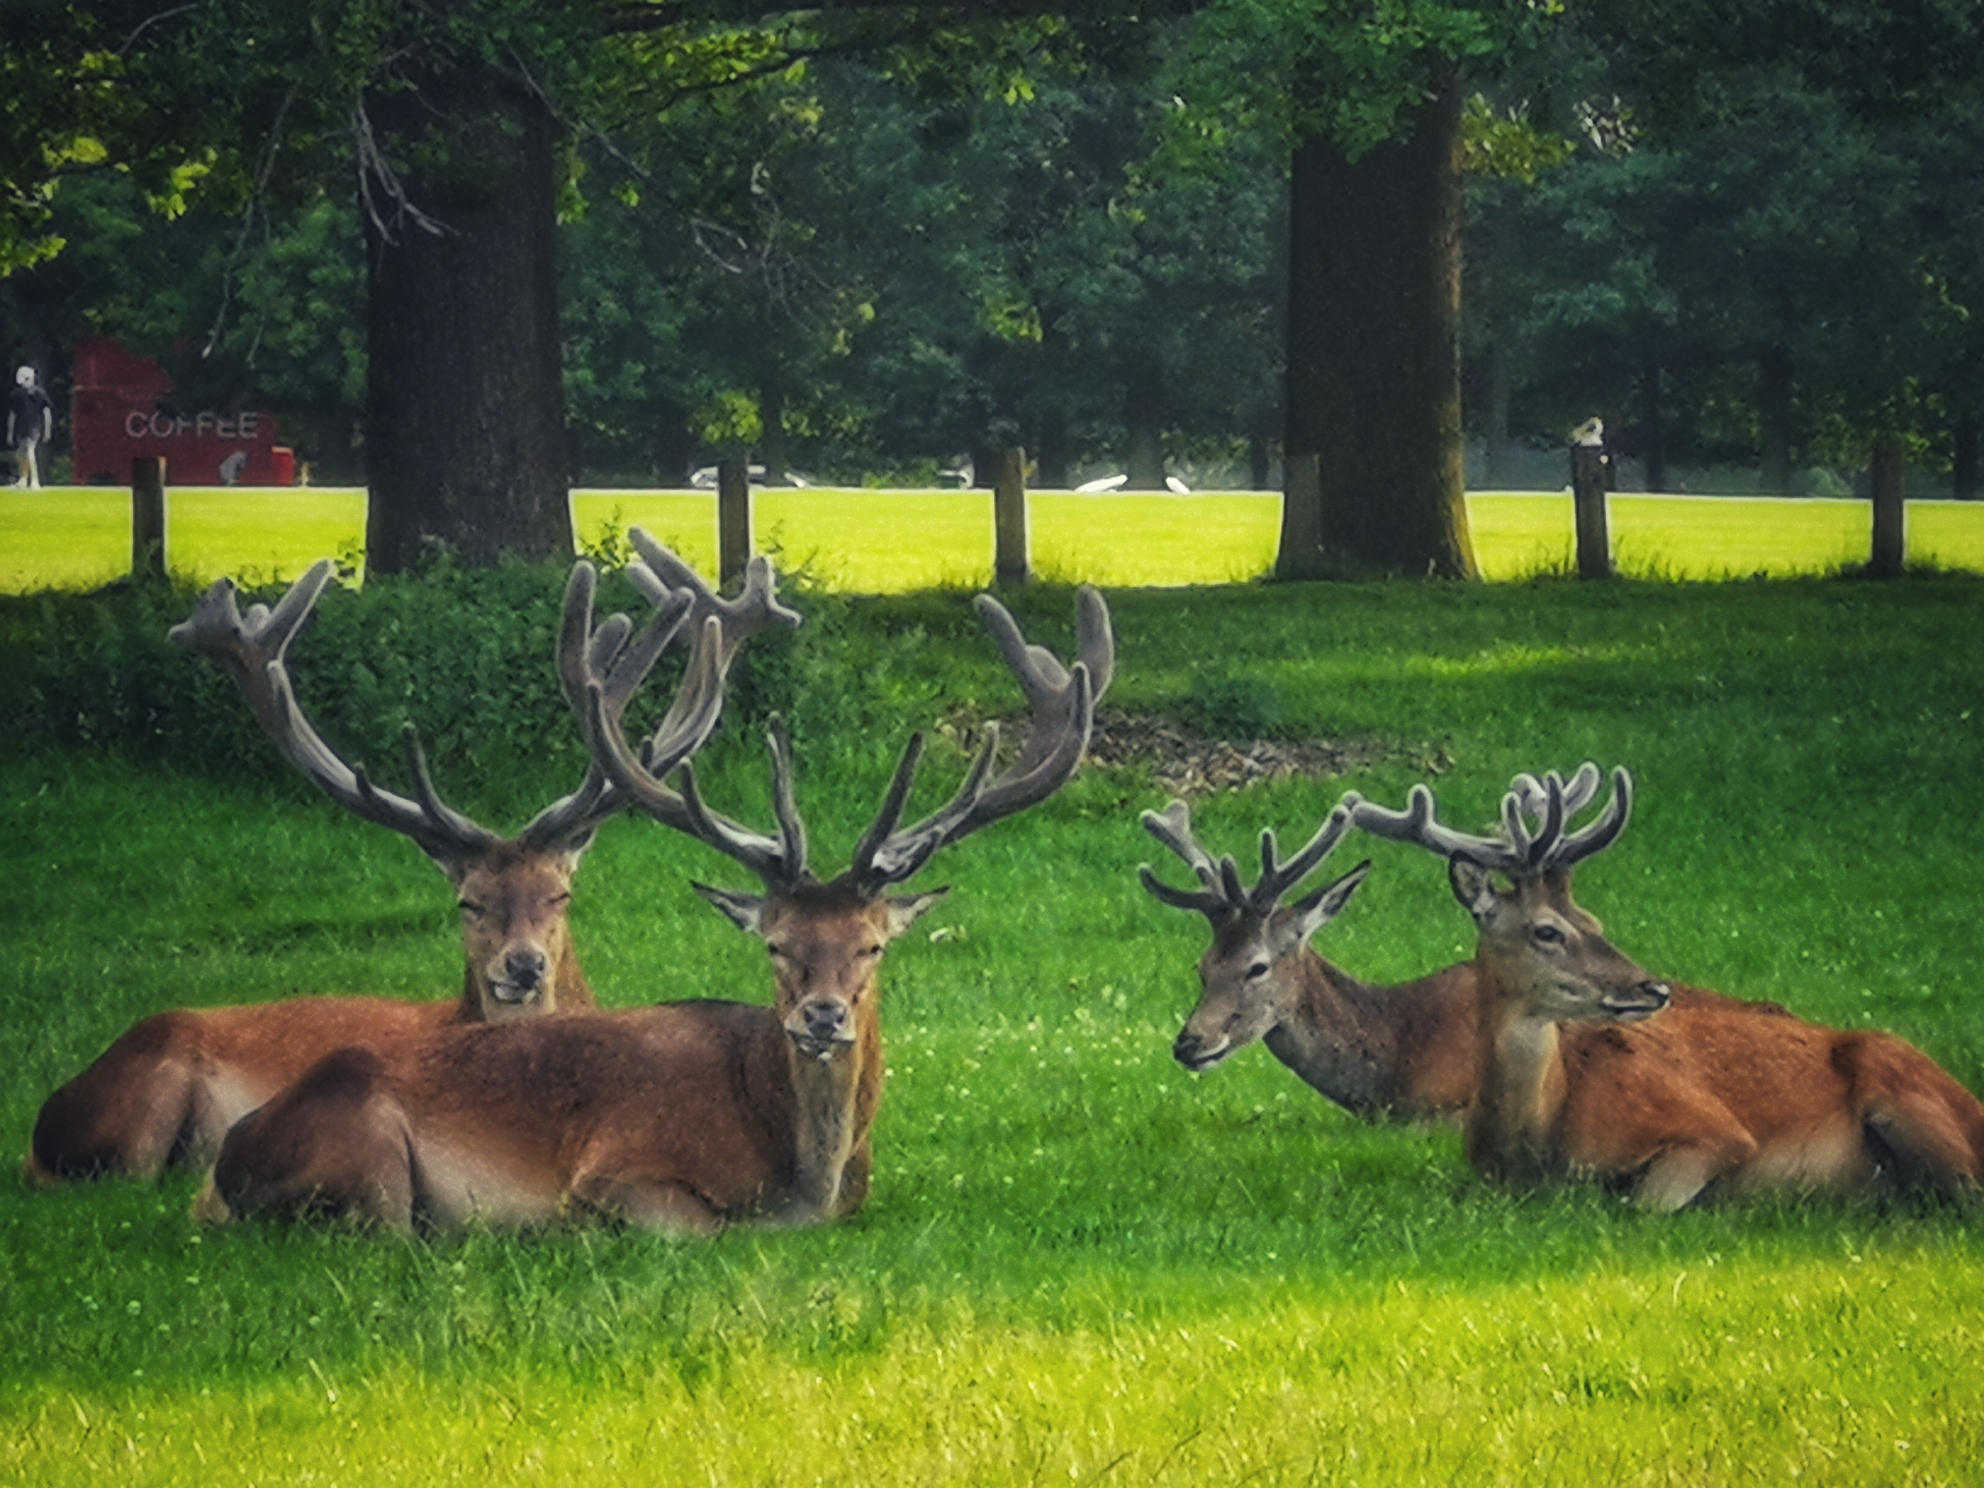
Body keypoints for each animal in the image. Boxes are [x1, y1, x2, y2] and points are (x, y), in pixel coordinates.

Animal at [197, 587, 1118, 1238]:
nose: (821, 1017)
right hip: (371, 1149)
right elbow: (707, 1227)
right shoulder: (619, 1167)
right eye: (776, 945)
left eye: (872, 946)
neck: (805, 1178)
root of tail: (228, 1157)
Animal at [1349, 769, 1984, 1214]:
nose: (1652, 987)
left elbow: (1640, 1206)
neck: (1535, 1145)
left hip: (1908, 1098)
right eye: (1546, 930)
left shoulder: (1714, 1129)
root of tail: (1971, 1103)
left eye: (1594, 920)